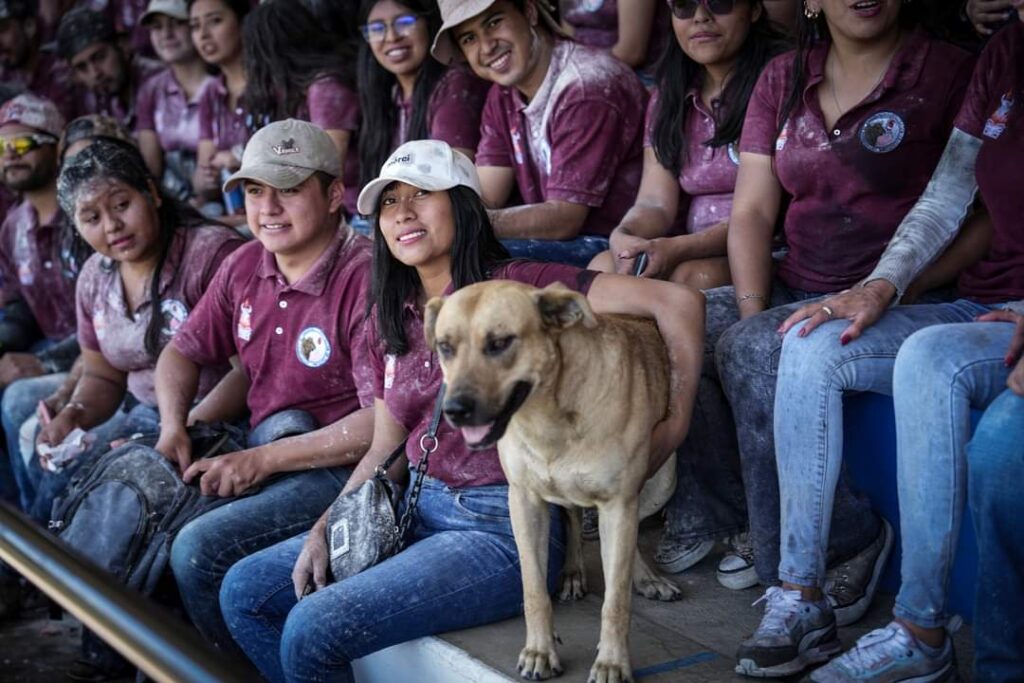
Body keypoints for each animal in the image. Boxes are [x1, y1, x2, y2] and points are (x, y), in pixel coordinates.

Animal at [428, 280, 684, 683]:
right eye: (445, 347)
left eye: (500, 342)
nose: (453, 410)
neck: (547, 413)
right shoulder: (524, 501)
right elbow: (533, 590)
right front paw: (539, 651)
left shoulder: (618, 504)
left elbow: (615, 600)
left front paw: (612, 662)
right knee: (574, 518)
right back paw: (572, 572)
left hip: (662, 482)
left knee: (628, 544)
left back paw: (644, 578)